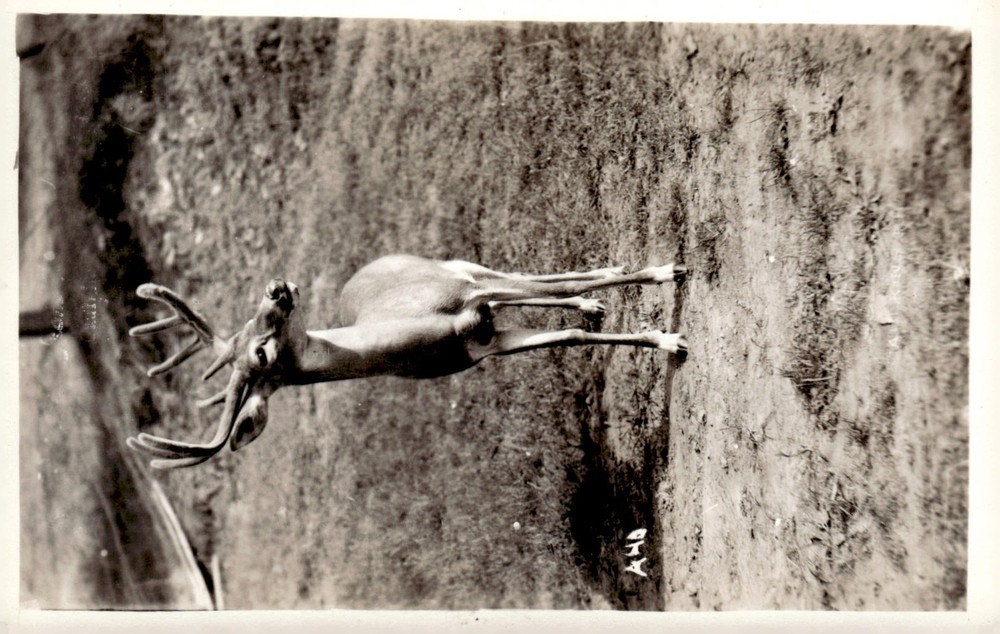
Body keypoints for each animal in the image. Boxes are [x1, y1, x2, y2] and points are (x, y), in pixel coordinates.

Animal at [126, 254, 688, 469]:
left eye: (252, 332)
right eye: (257, 348)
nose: (276, 288)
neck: (422, 335)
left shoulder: (471, 301)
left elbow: (555, 296)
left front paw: (666, 300)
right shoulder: (484, 344)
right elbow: (567, 336)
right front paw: (668, 340)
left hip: (461, 270)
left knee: (539, 279)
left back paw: (638, 274)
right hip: (473, 288)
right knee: (548, 290)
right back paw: (596, 301)